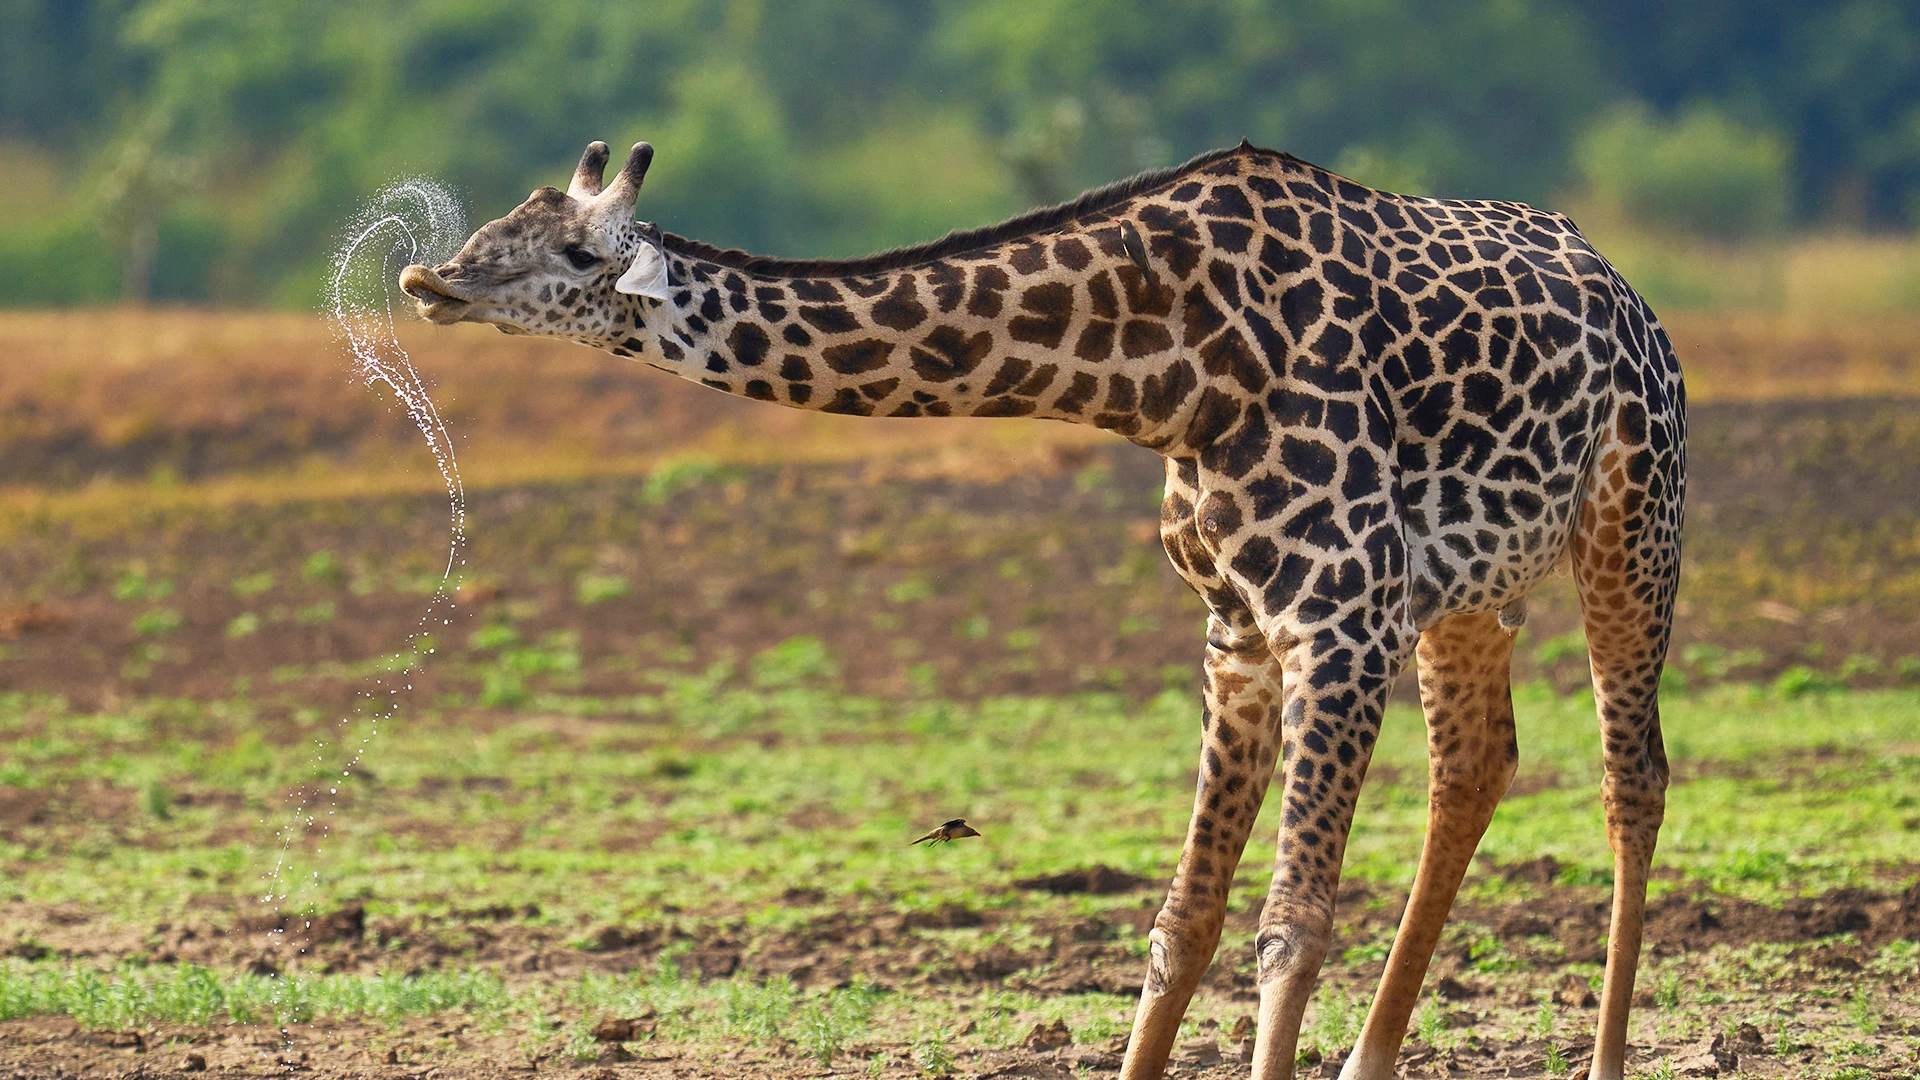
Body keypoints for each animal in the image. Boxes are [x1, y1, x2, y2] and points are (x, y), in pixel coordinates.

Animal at [401, 139, 1684, 1080]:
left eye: (575, 250)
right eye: (494, 225)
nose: (429, 278)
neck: (1166, 369)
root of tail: (1628, 291)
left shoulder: (1339, 618)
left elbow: (1291, 925)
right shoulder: (1239, 632)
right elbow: (1182, 924)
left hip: (1633, 521)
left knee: (1633, 777)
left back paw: (1603, 1062)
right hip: (1473, 592)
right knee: (1475, 764)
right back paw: (1371, 1064)